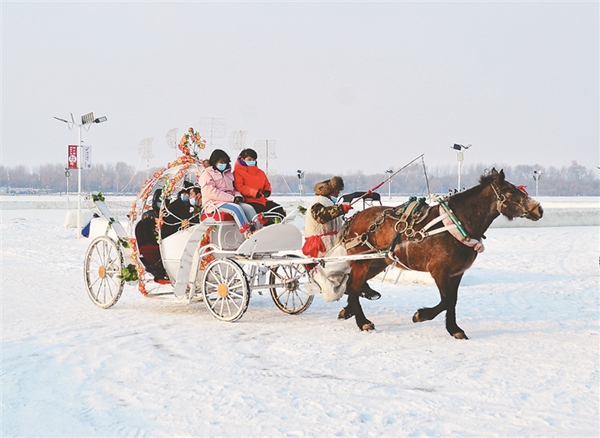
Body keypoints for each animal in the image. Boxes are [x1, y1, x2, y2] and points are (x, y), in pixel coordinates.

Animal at [336, 168, 543, 339]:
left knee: (353, 286)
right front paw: (421, 315)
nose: (538, 208)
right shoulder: (439, 270)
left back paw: (348, 311)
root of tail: (355, 217)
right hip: (362, 261)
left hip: (377, 262)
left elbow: (453, 300)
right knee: (353, 288)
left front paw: (454, 329)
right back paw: (363, 322)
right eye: (510, 191)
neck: (456, 224)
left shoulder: (457, 273)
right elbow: (446, 300)